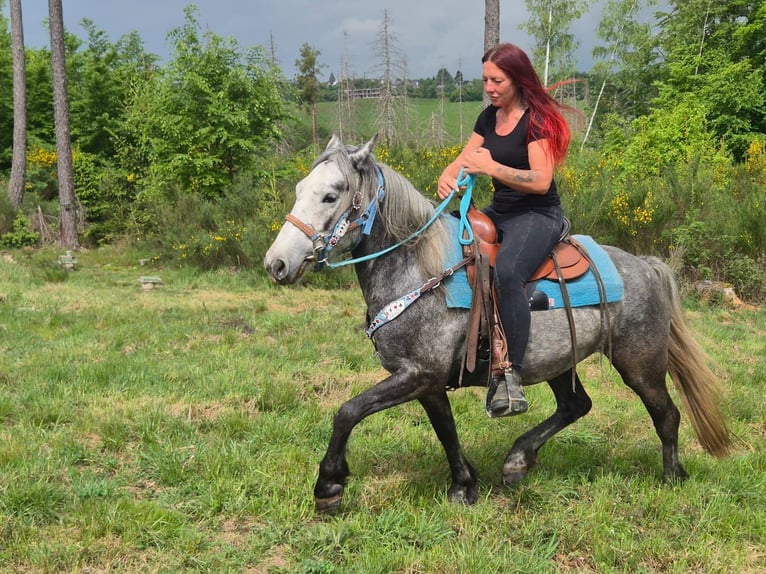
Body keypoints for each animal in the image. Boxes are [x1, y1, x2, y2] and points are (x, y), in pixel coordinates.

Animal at [264, 135, 732, 513]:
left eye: (331, 195)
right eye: (300, 189)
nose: (277, 264)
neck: (420, 270)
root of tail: (646, 266)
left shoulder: (417, 374)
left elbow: (348, 411)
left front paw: (329, 485)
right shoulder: (426, 380)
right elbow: (446, 430)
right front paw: (463, 485)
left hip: (641, 364)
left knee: (666, 414)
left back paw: (672, 477)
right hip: (559, 360)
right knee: (575, 405)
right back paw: (518, 460)